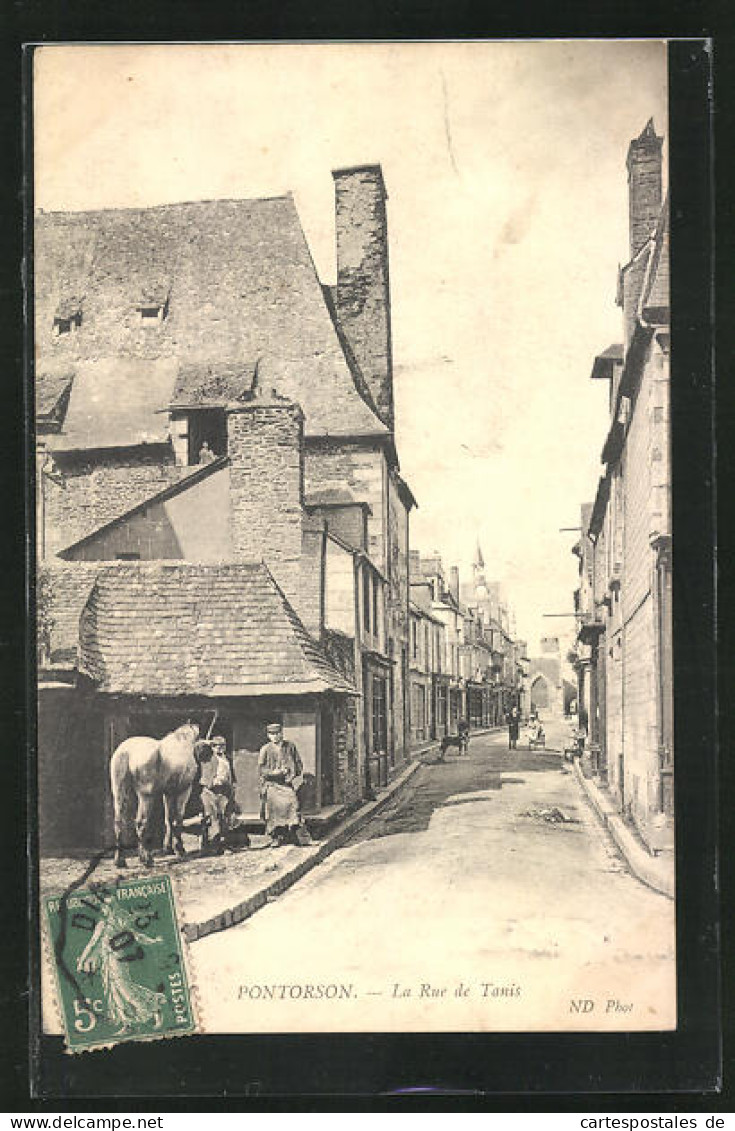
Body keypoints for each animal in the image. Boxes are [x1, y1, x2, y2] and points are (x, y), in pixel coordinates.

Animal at [108, 719, 200, 868]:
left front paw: (168, 848)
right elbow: (178, 819)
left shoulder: (168, 793)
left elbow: (169, 819)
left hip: (120, 793)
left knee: (119, 822)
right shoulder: (184, 790)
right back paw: (147, 859)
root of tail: (126, 752)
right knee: (141, 823)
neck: (182, 743)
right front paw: (180, 850)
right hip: (146, 796)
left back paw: (121, 860)